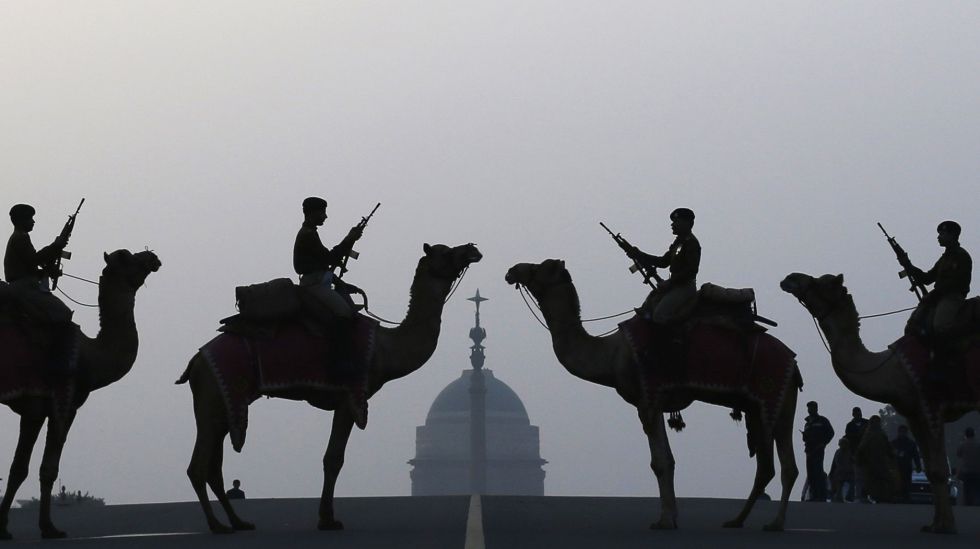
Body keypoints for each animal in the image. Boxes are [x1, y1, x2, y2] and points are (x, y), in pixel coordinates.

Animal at [0, 249, 163, 540]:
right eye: (126, 257)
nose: (152, 256)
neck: (90, 356)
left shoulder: (52, 407)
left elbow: (34, 468)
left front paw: (36, 526)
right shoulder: (51, 402)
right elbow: (31, 468)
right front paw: (39, 527)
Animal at [179, 243, 482, 532]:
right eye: (446, 253)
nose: (472, 249)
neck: (384, 347)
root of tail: (196, 360)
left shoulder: (343, 400)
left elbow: (331, 457)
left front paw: (326, 517)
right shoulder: (351, 396)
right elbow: (334, 458)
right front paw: (328, 520)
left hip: (223, 402)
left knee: (213, 467)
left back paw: (239, 522)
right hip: (215, 395)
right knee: (198, 466)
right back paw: (217, 525)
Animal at [510, 260, 800, 532]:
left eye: (541, 267)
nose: (513, 270)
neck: (612, 354)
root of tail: (793, 362)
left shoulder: (646, 399)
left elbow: (659, 462)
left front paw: (664, 520)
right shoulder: (656, 400)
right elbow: (668, 460)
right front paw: (672, 516)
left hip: (774, 393)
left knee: (782, 465)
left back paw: (775, 523)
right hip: (760, 406)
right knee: (770, 466)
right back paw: (737, 520)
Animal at [776, 272, 976, 532]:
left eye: (823, 283)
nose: (790, 278)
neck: (892, 369)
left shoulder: (931, 406)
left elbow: (940, 469)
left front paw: (946, 526)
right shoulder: (914, 413)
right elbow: (932, 470)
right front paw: (935, 524)